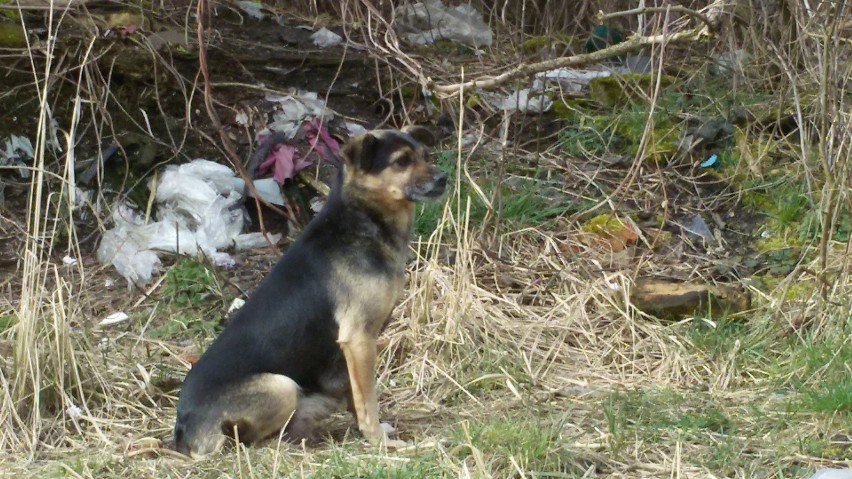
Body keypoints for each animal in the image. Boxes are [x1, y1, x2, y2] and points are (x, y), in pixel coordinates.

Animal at [175, 124, 452, 458]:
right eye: (401, 161)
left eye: (426, 155)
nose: (443, 178)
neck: (359, 219)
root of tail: (183, 429)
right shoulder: (358, 340)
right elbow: (368, 399)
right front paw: (379, 442)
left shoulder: (351, 352)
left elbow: (355, 396)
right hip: (280, 386)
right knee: (256, 437)